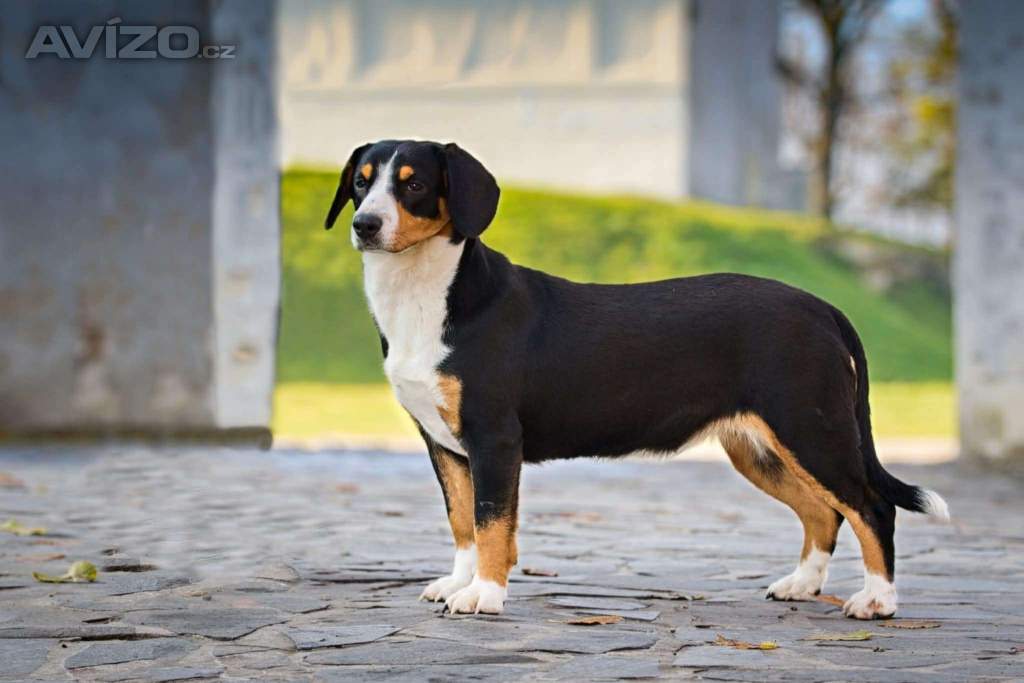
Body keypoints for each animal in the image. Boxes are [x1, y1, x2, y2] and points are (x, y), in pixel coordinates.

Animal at [324, 139, 949, 619]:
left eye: (413, 186)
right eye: (360, 183)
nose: (365, 225)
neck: (428, 297)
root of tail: (822, 308)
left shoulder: (493, 438)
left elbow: (492, 523)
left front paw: (486, 595)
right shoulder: (445, 444)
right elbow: (463, 523)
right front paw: (459, 582)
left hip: (811, 429)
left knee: (872, 508)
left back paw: (878, 601)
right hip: (762, 449)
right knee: (824, 512)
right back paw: (802, 584)